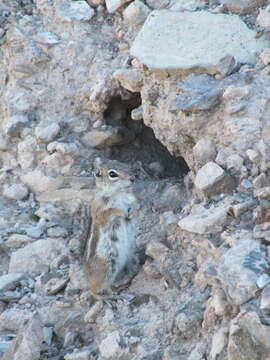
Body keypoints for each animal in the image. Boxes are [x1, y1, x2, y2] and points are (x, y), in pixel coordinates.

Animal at [84, 160, 143, 298]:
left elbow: (135, 207)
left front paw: (132, 212)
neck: (119, 193)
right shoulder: (99, 210)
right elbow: (110, 212)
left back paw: (117, 289)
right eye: (112, 174)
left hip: (131, 258)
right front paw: (122, 212)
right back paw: (102, 297)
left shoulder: (133, 200)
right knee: (94, 288)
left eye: (125, 164)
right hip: (106, 265)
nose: (133, 178)